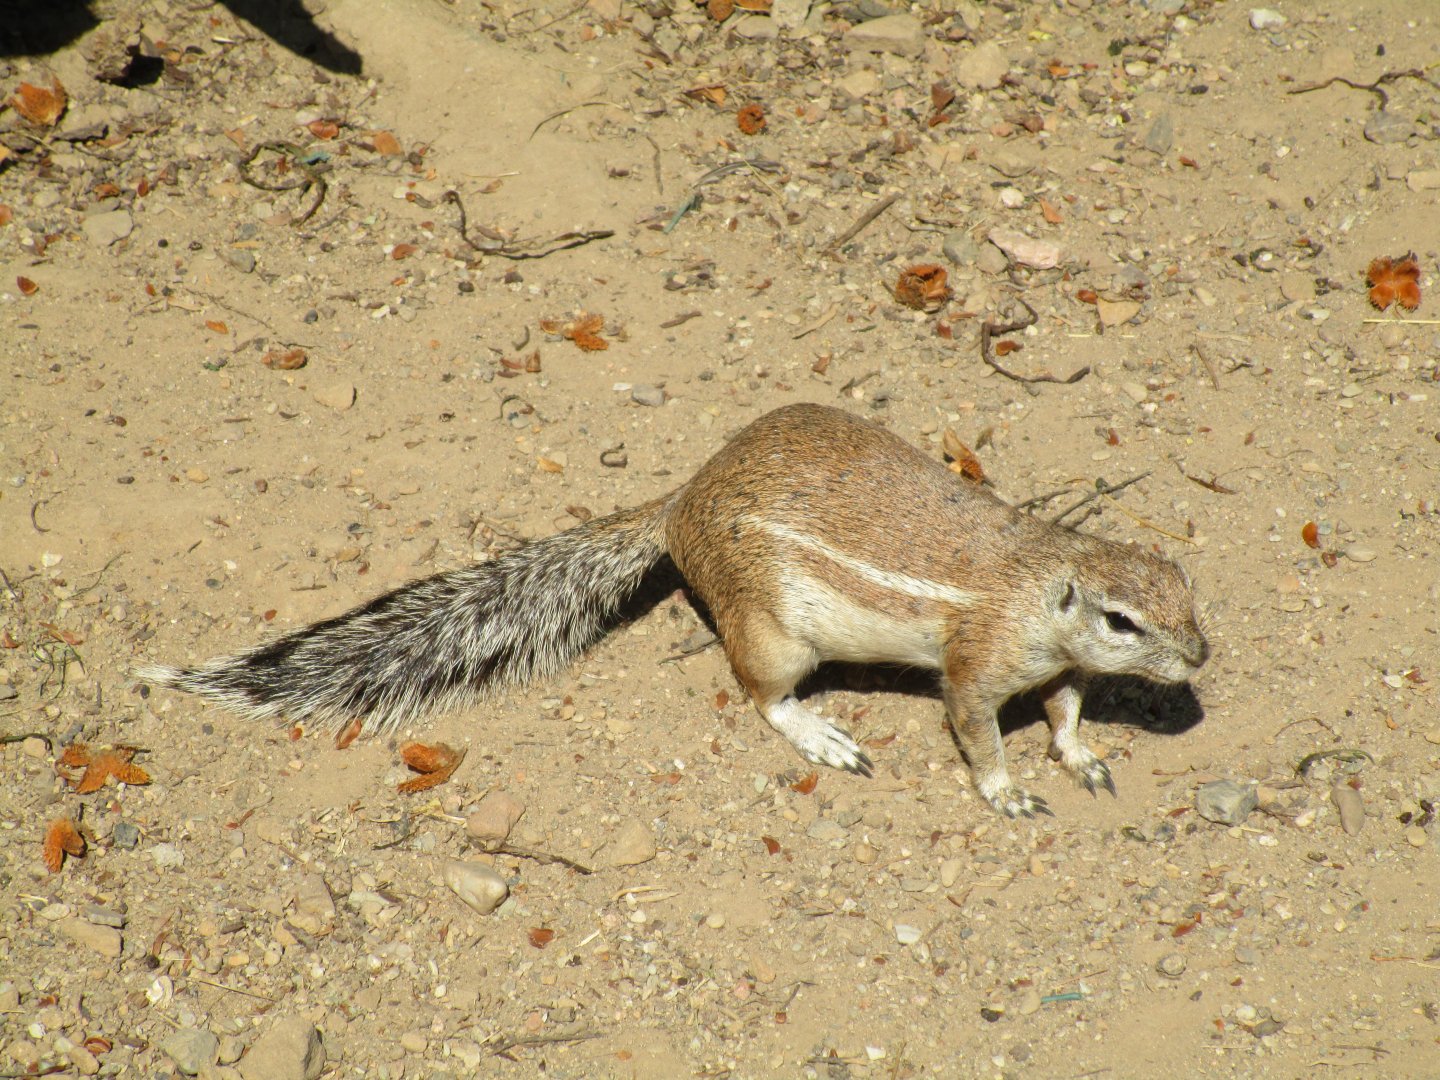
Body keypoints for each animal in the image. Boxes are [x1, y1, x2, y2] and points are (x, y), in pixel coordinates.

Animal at [139, 403, 1209, 818]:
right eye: (1124, 620)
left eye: (1187, 589)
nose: (1200, 657)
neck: (1040, 581)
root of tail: (680, 502)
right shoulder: (977, 664)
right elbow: (976, 729)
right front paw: (1006, 788)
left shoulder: (1058, 667)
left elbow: (1066, 711)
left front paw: (1079, 755)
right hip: (773, 630)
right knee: (760, 694)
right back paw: (820, 734)